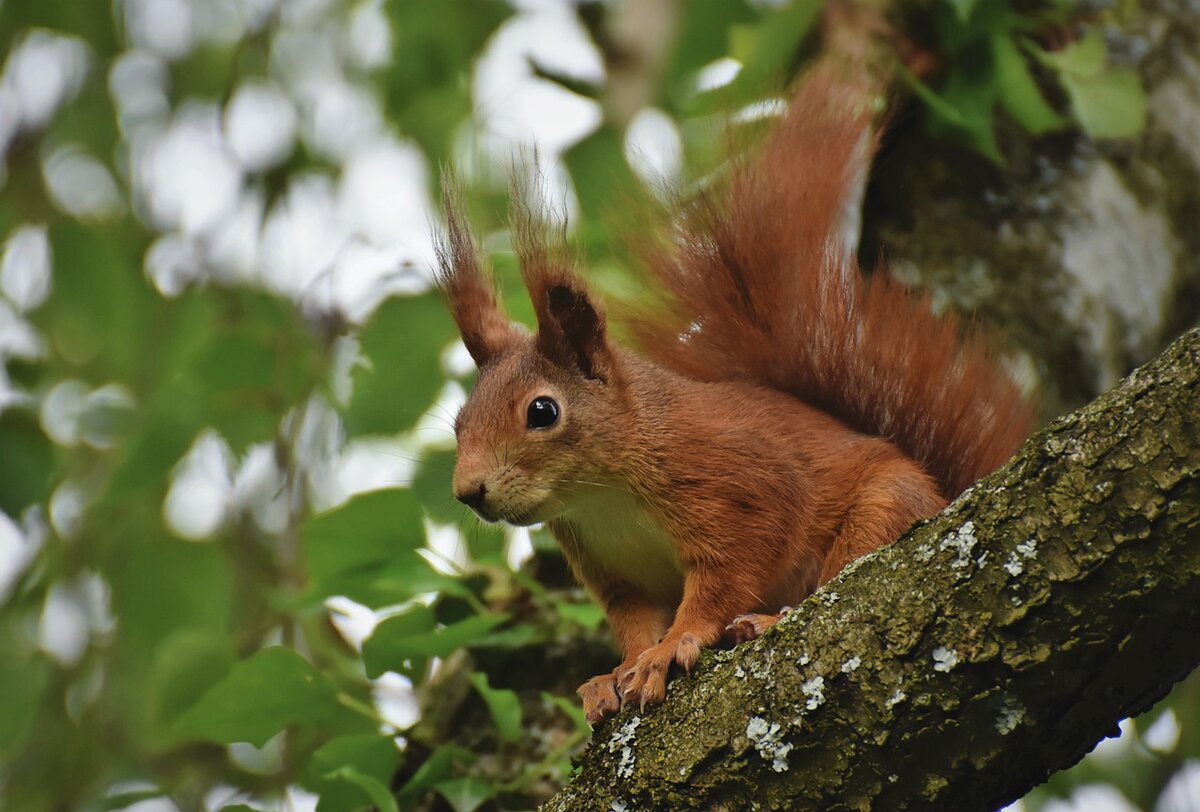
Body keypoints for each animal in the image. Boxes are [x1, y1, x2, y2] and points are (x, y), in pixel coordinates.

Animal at [432, 58, 1032, 724]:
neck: (602, 494)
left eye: (542, 410)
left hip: (885, 509)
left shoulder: (736, 486)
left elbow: (725, 579)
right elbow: (632, 621)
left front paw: (671, 648)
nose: (469, 492)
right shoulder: (613, 569)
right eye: (459, 422)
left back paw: (768, 619)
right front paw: (615, 673)